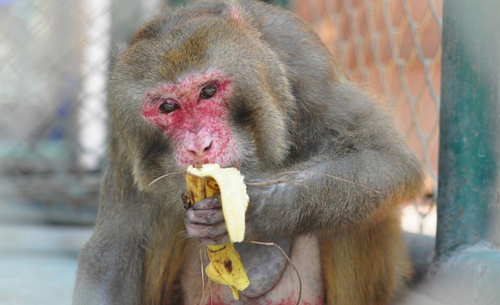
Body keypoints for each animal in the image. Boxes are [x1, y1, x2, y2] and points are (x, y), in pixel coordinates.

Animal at [74, 0, 424, 304]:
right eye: (168, 107)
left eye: (208, 91)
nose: (199, 145)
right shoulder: (123, 135)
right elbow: (115, 249)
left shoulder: (305, 61)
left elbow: (386, 156)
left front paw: (247, 208)